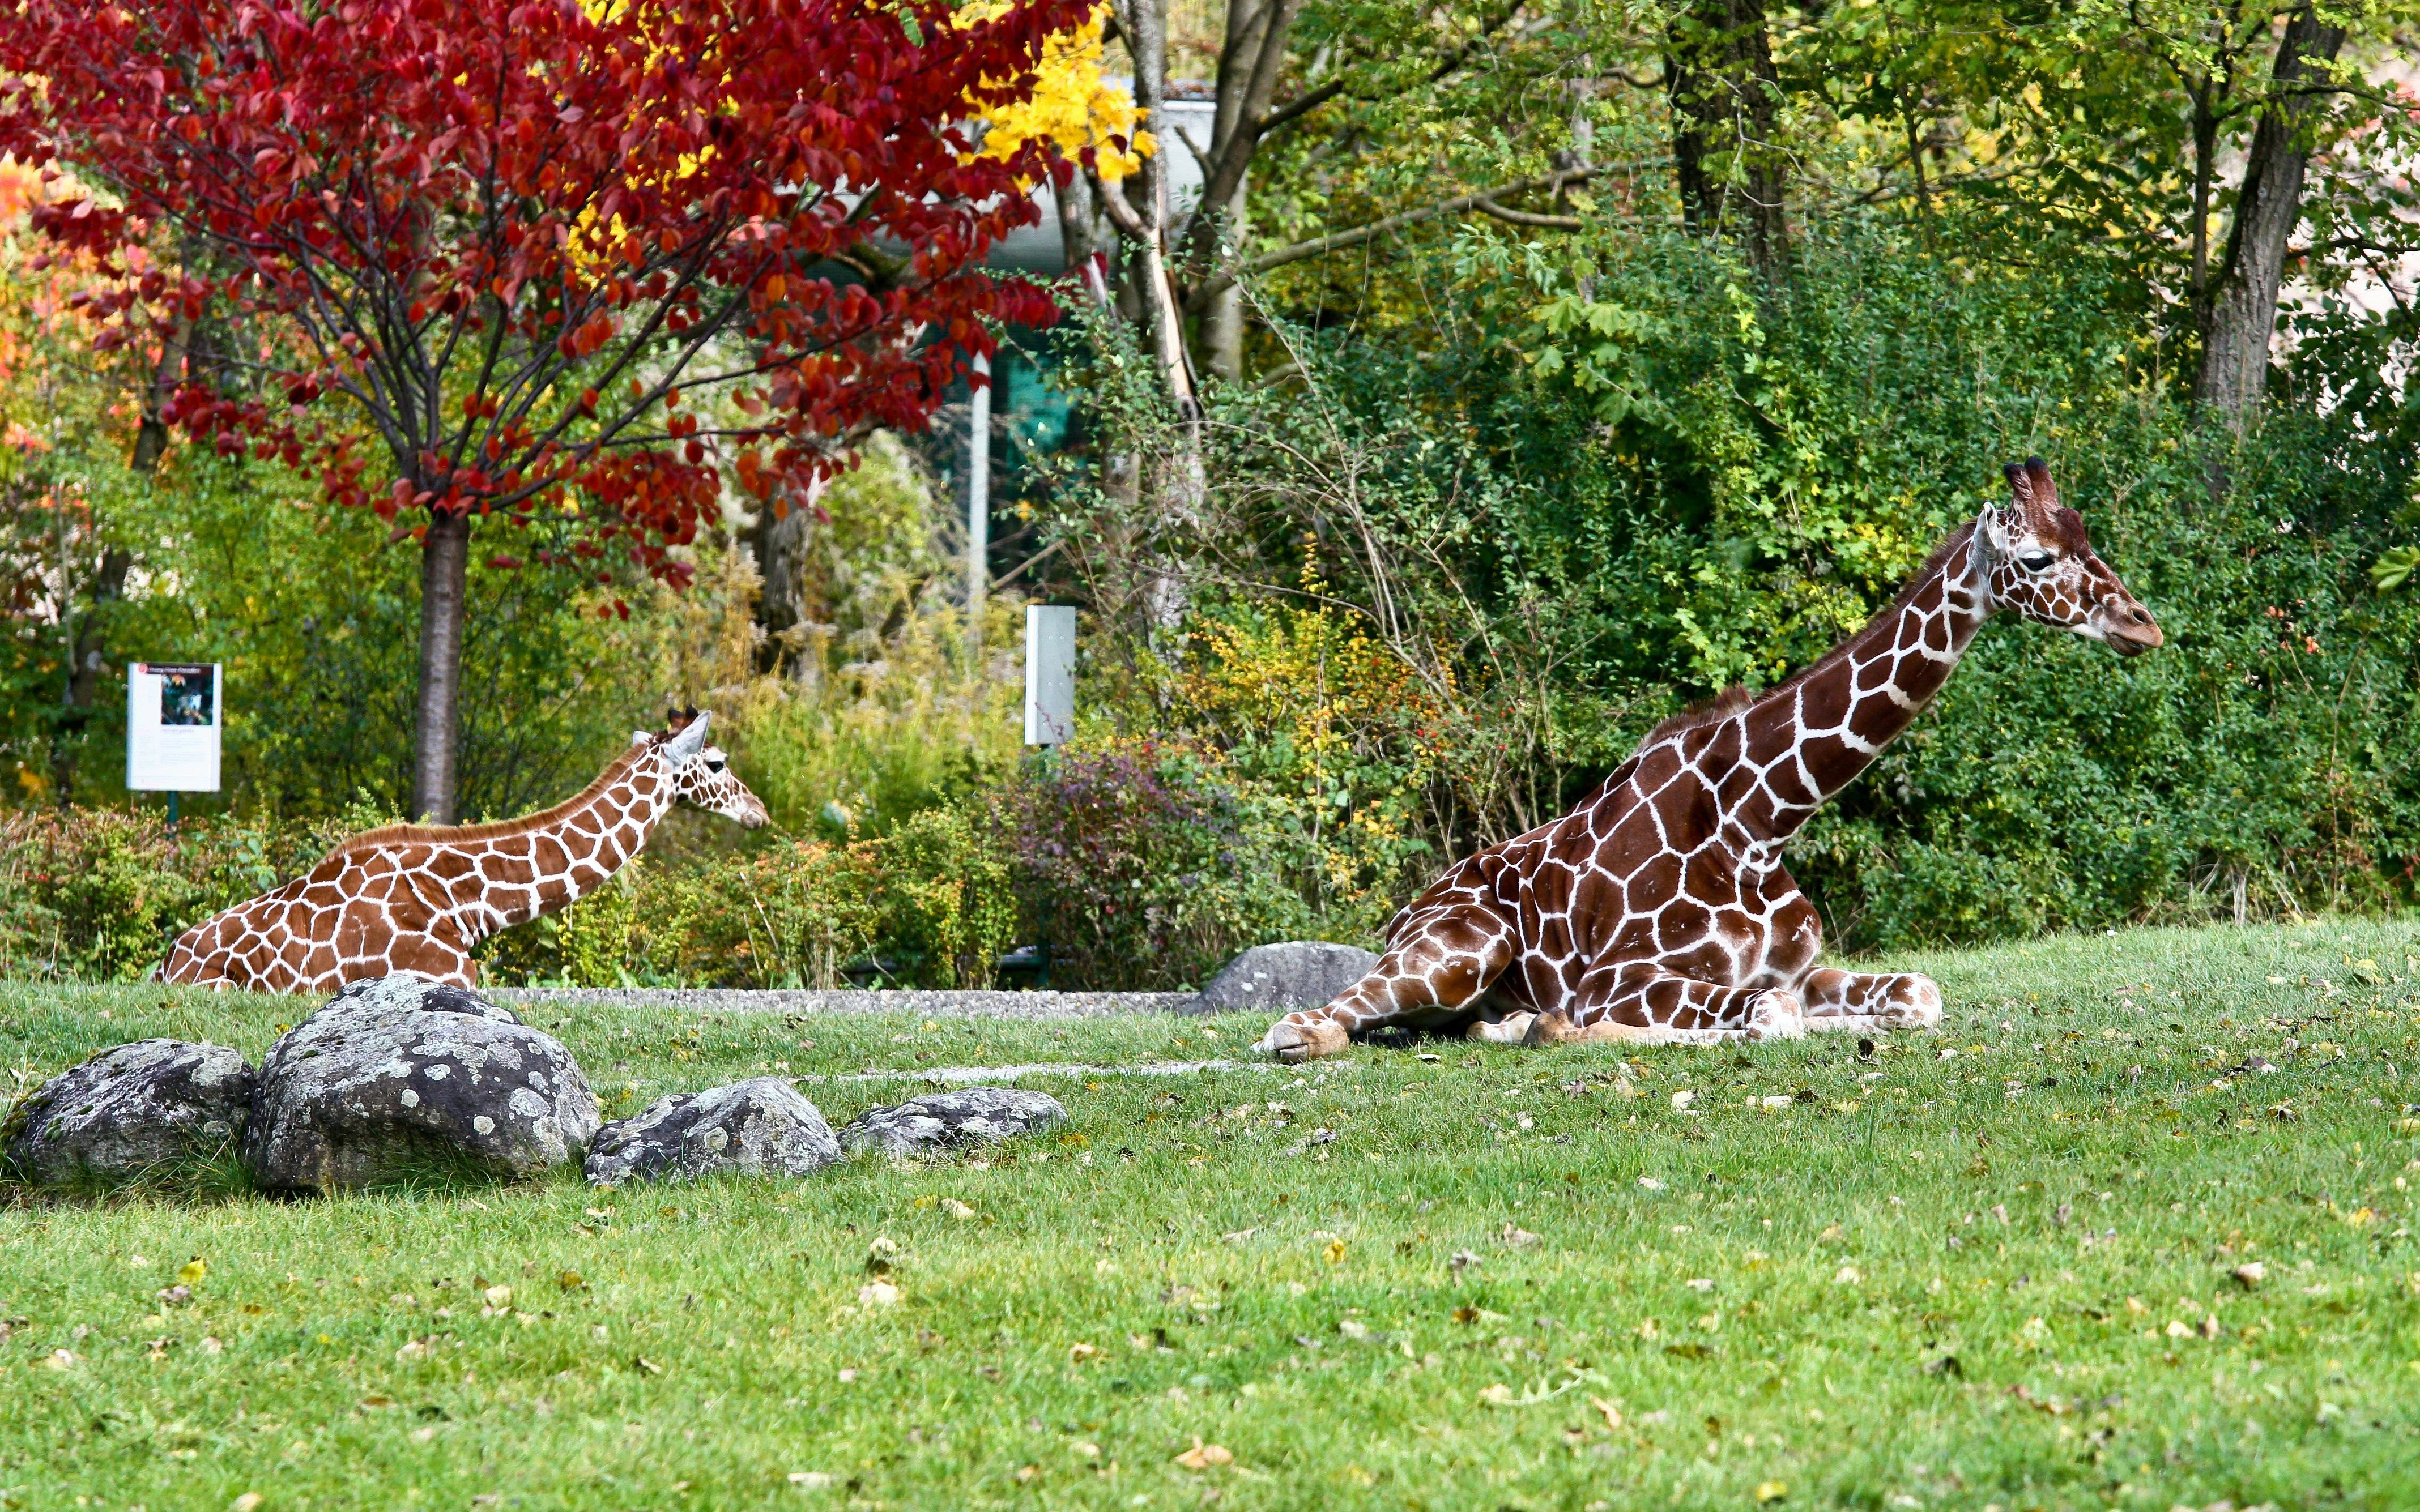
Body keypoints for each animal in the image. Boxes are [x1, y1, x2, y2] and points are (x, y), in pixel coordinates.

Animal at [1255, 458, 2163, 1062]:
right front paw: (1559, 1027)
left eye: (2087, 538)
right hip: (1458, 952)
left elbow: (1917, 996)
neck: (1760, 819)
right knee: (1303, 1028)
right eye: (2037, 558)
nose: (2142, 626)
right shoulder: (1618, 978)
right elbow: (1764, 1021)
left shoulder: (1797, 970)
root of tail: (1404, 916)